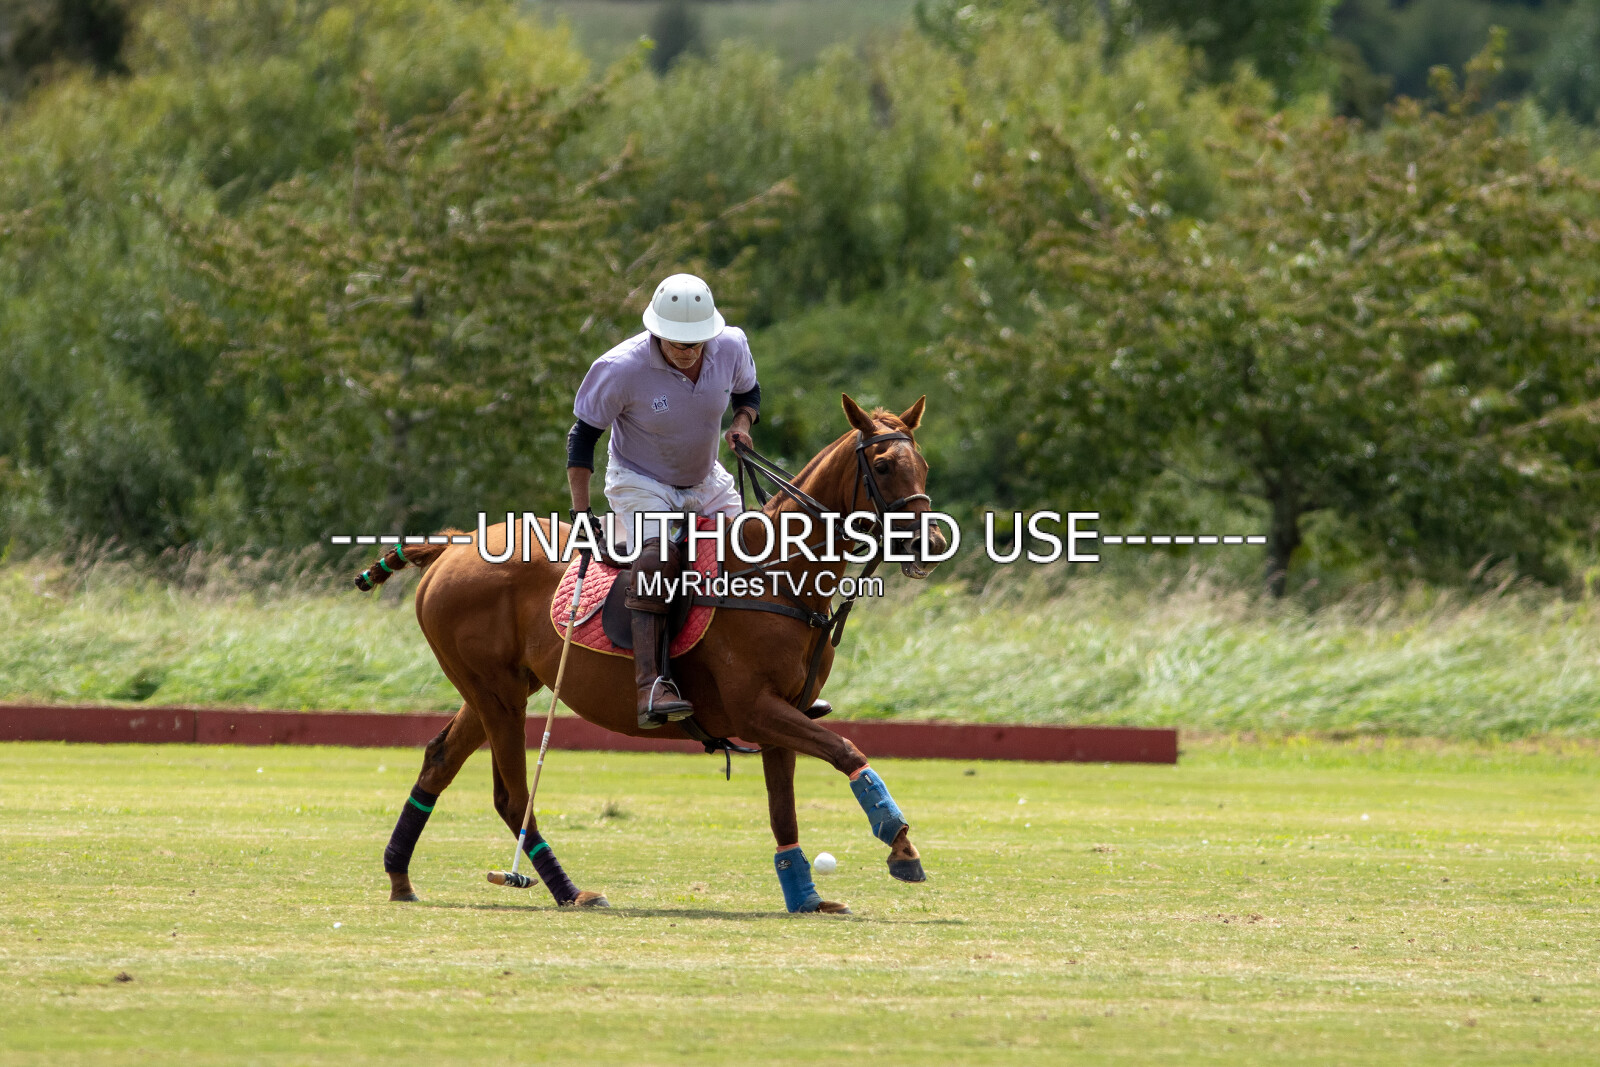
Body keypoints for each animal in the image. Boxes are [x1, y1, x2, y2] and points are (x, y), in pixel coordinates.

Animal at [358, 394, 947, 914]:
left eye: (922, 465)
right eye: (882, 465)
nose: (933, 544)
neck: (779, 576)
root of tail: (451, 546)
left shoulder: (785, 714)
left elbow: (785, 810)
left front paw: (807, 898)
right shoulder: (756, 709)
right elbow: (846, 750)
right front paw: (900, 844)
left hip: (501, 687)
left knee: (440, 760)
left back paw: (400, 877)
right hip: (497, 692)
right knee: (512, 795)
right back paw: (569, 891)